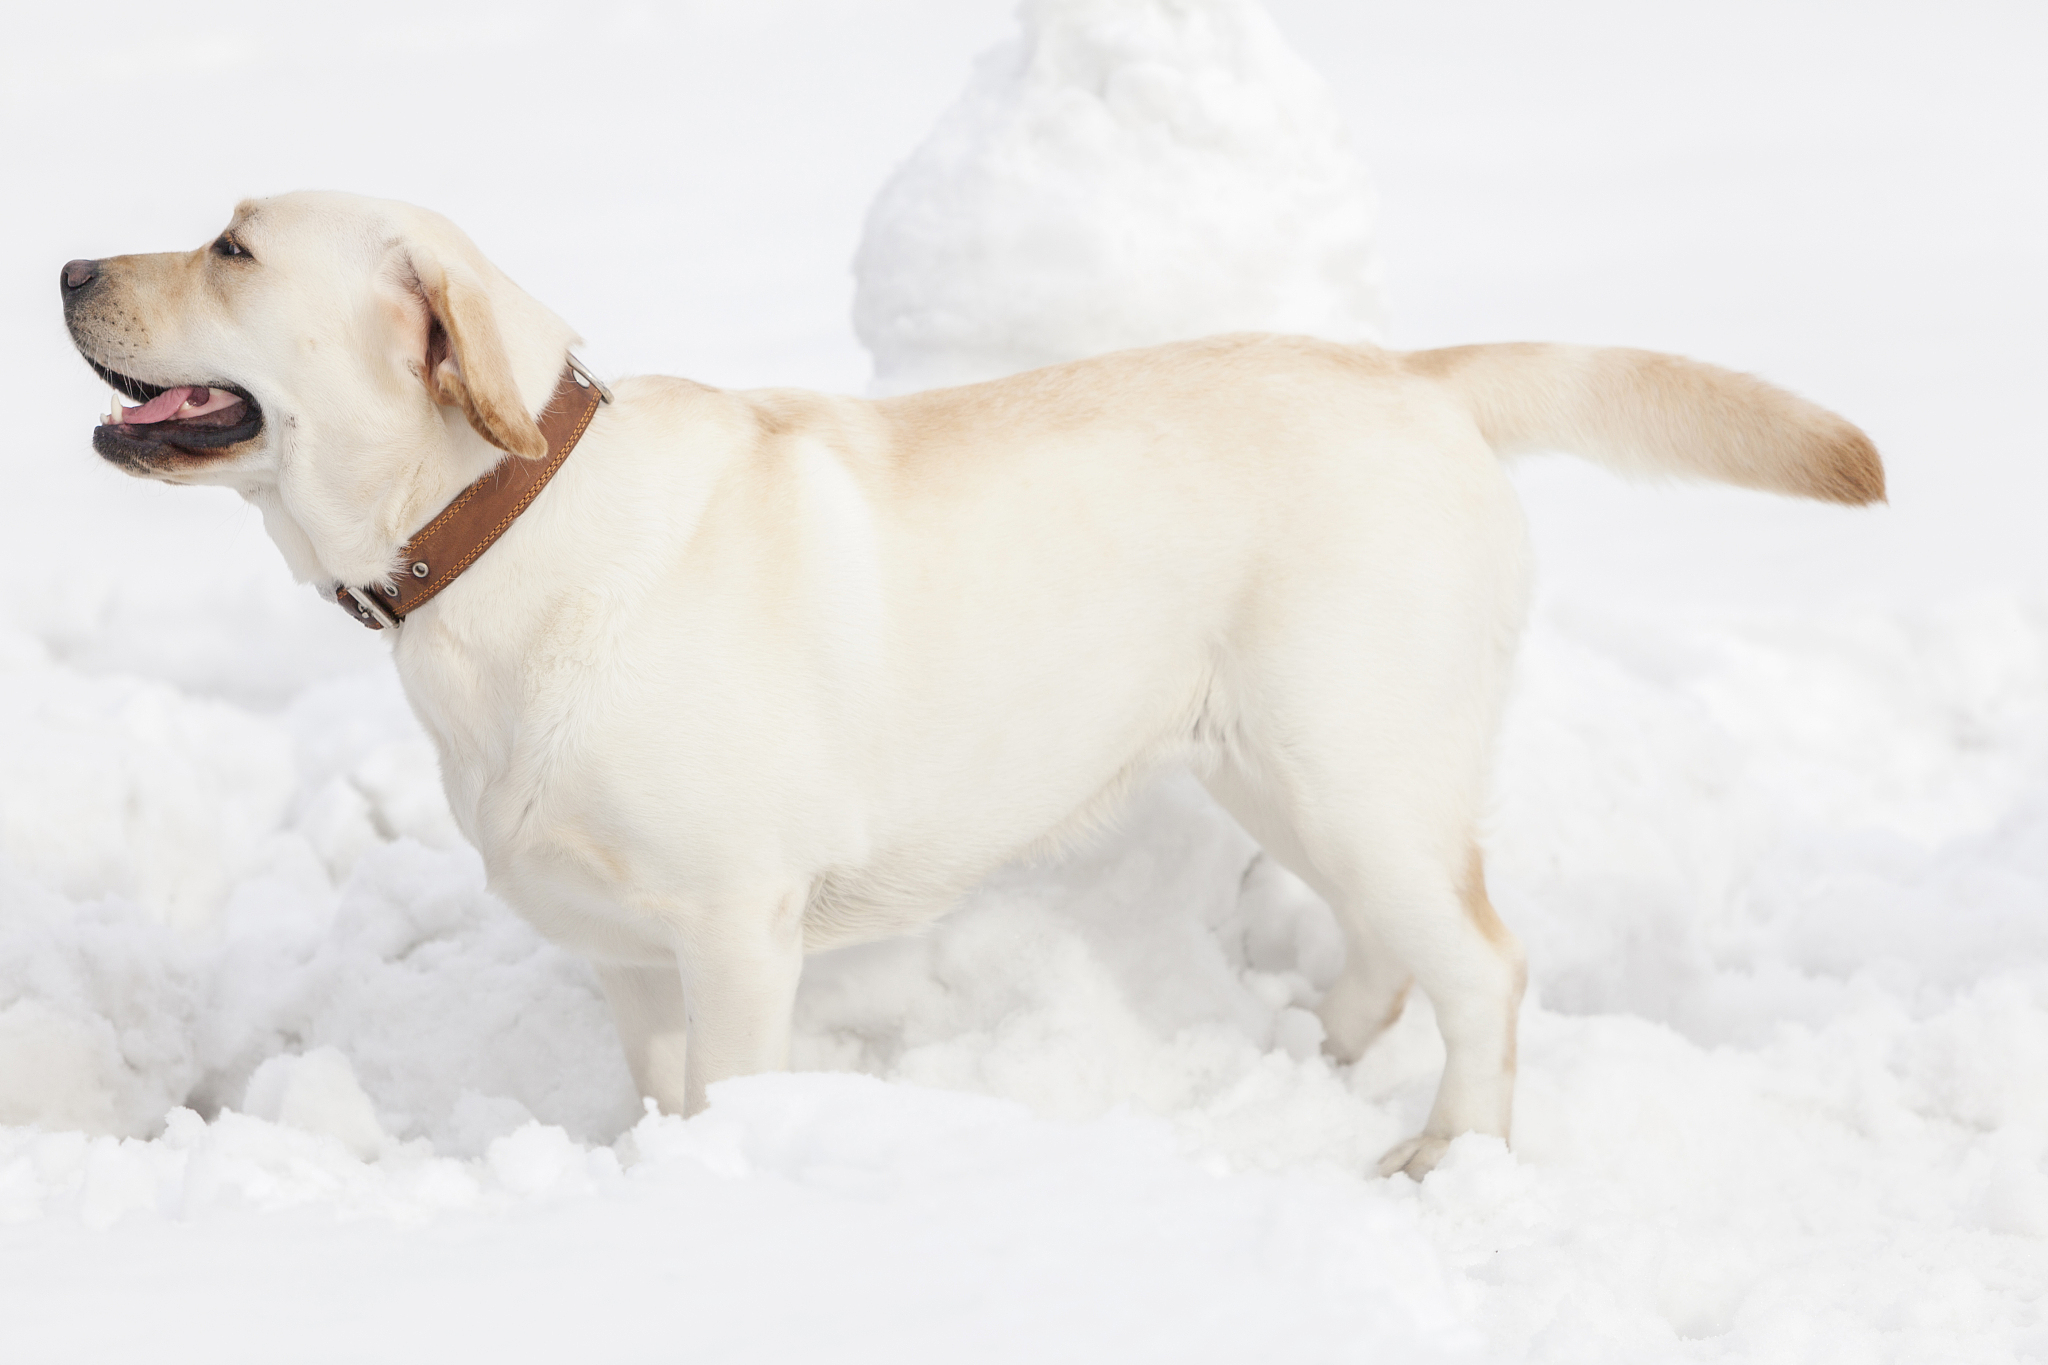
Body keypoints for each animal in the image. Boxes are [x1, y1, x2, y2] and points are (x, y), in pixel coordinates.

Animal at [56, 194, 1875, 1186]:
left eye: (230, 245)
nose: (66, 265)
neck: (499, 525)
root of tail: (1415, 375)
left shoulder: (735, 930)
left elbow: (733, 1095)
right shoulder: (627, 952)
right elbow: (657, 1099)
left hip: (1351, 761)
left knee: (1488, 966)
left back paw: (1452, 1154)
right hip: (1287, 764)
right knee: (1392, 945)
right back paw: (1327, 1046)